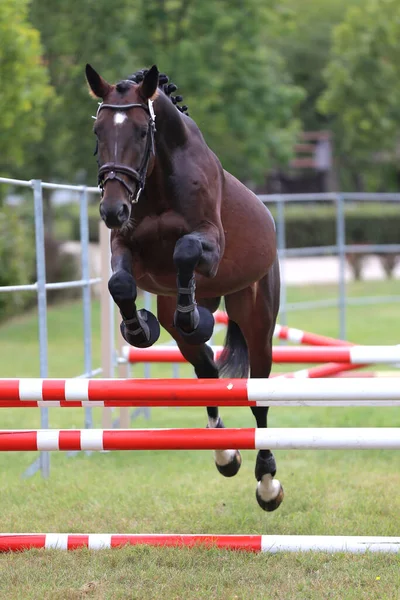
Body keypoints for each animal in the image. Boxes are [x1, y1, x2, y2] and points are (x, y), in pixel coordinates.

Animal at [86, 63, 282, 510]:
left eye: (142, 132)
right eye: (98, 131)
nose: (111, 210)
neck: (159, 178)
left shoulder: (209, 241)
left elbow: (185, 251)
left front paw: (190, 315)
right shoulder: (124, 246)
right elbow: (120, 283)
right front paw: (138, 328)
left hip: (258, 320)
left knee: (258, 395)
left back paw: (267, 482)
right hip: (184, 329)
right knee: (205, 367)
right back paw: (225, 453)